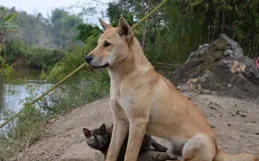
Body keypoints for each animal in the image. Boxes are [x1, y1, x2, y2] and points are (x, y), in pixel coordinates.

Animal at [84, 17, 258, 161]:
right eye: (98, 43)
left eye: (107, 44)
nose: (86, 58)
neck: (123, 79)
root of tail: (217, 149)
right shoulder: (120, 122)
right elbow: (112, 152)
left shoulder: (137, 123)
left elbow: (129, 155)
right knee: (173, 155)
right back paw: (161, 155)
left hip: (196, 142)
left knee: (185, 160)